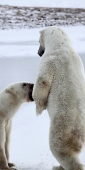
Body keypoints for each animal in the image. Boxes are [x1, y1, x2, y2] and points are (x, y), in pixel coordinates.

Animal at [32, 25, 85, 170]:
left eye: (38, 41)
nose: (38, 53)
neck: (61, 44)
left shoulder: (50, 60)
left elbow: (43, 81)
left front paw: (39, 108)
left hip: (63, 128)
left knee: (61, 149)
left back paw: (59, 166)